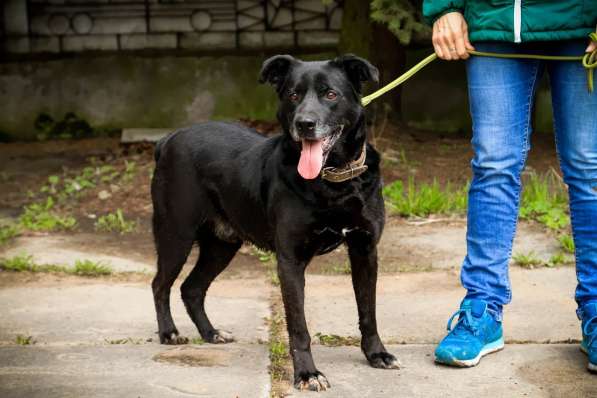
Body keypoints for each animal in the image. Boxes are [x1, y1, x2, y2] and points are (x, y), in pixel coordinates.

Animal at [151, 53, 398, 392]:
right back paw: (169, 333)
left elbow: (368, 311)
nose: (304, 124)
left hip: (221, 245)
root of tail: (169, 138)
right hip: (176, 234)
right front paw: (307, 373)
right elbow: (299, 327)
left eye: (330, 94)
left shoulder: (365, 251)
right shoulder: (290, 261)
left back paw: (211, 333)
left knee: (191, 288)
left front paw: (376, 354)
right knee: (160, 284)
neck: (333, 180)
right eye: (293, 95)